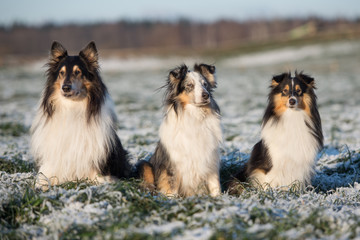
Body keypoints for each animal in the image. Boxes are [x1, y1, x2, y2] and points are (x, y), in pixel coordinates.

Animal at [30, 40, 130, 188]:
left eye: (78, 72)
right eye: (61, 73)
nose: (65, 88)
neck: (72, 106)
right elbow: (44, 176)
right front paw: (42, 184)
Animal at [138, 63, 222, 197]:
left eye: (205, 84)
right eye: (190, 85)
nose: (206, 95)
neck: (195, 116)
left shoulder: (210, 161)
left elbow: (215, 185)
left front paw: (219, 199)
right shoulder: (173, 164)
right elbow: (171, 188)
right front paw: (171, 200)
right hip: (144, 165)